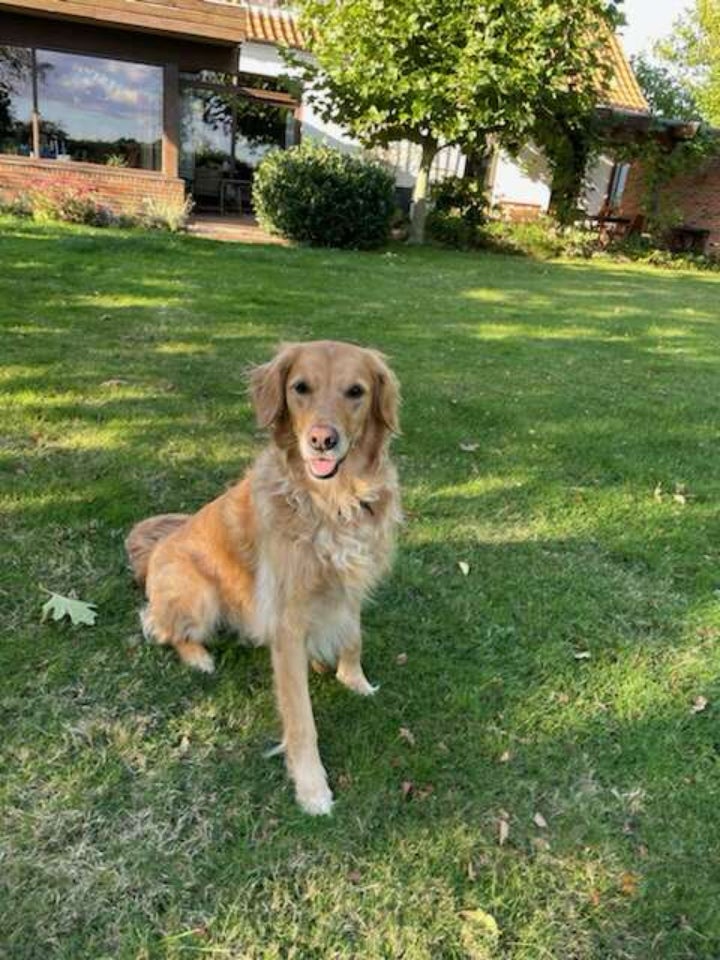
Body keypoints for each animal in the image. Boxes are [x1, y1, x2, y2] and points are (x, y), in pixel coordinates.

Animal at [126, 342, 402, 812]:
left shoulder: (349, 586)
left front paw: (355, 681)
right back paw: (198, 657)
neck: (333, 500)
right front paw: (312, 789)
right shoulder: (286, 620)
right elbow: (301, 719)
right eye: (300, 388)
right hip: (199, 595)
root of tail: (156, 550)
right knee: (158, 626)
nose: (322, 440)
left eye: (356, 391)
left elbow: (352, 637)